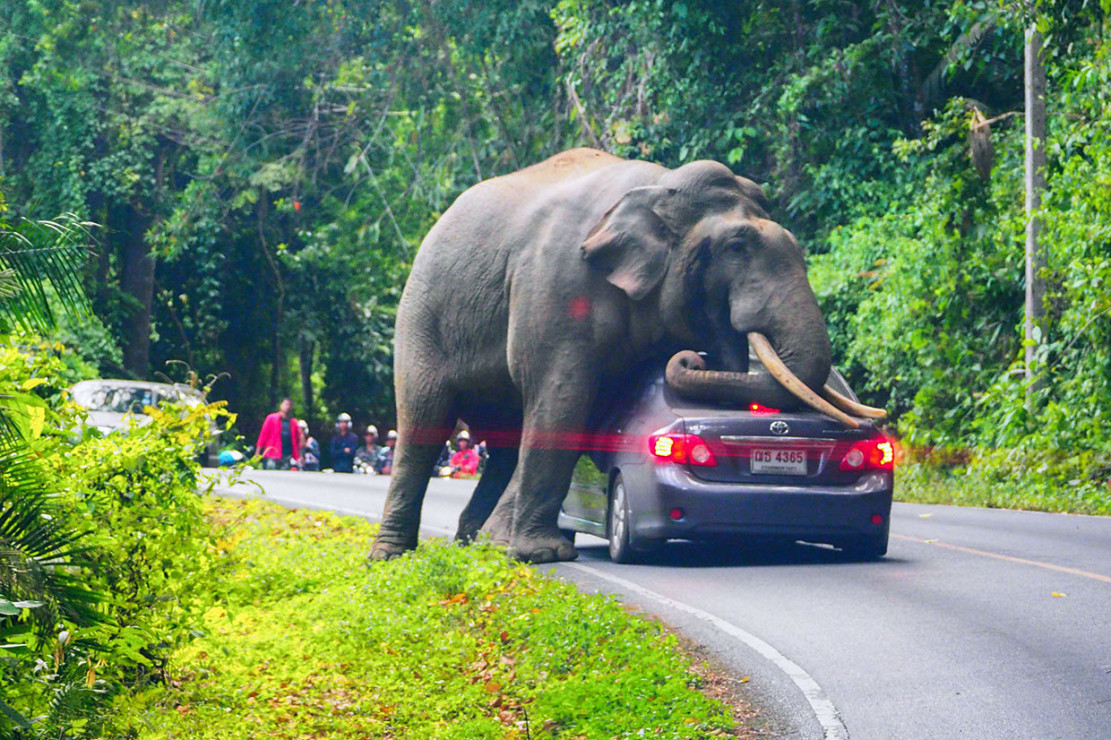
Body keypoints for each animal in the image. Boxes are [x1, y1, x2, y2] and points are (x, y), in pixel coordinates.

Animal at [373, 146, 884, 562]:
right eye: (737, 247)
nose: (693, 356)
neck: (661, 186)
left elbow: (584, 409)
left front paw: (513, 548)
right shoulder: (556, 283)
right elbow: (564, 397)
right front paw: (542, 555)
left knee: (503, 440)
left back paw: (473, 544)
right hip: (421, 314)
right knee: (425, 419)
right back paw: (392, 556)